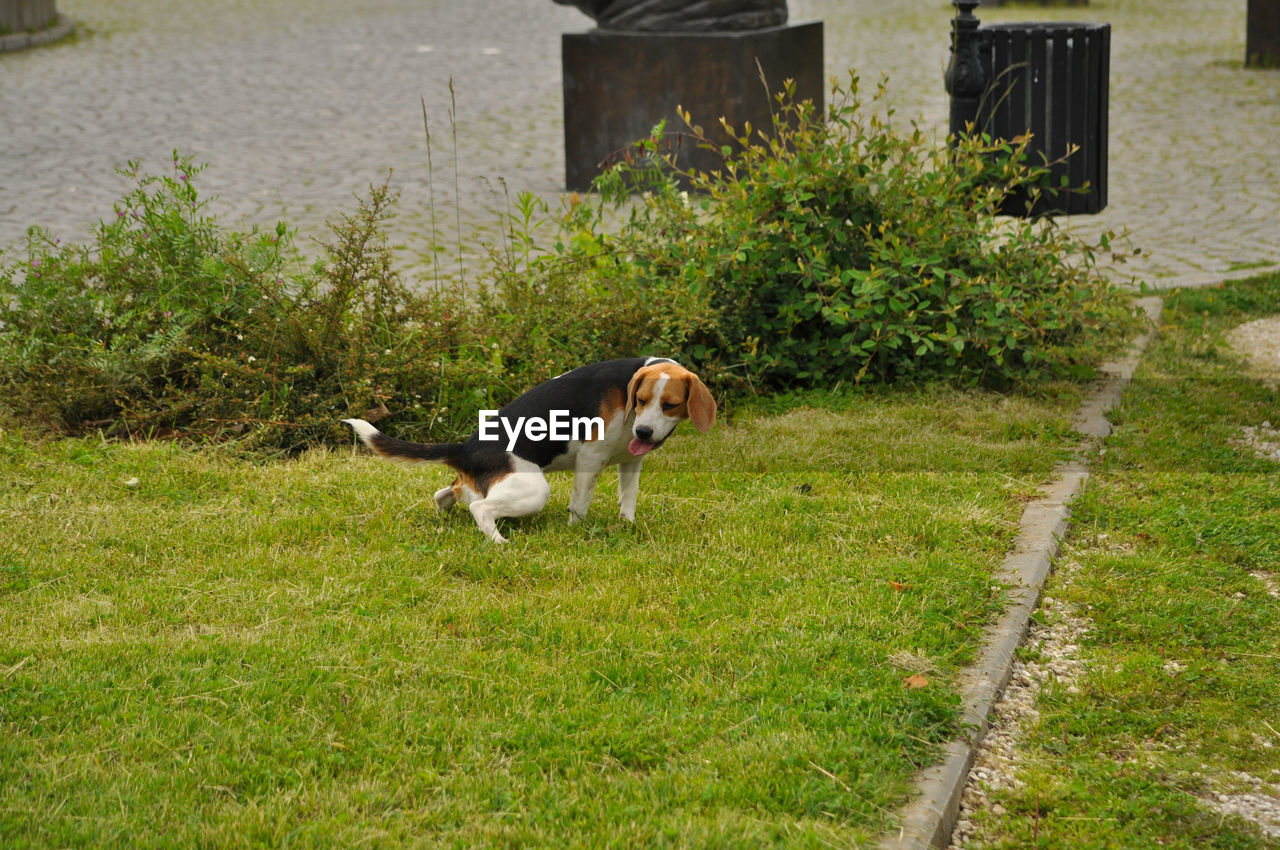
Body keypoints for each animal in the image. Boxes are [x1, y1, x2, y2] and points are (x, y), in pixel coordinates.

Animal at [345, 355, 716, 545]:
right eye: (640, 399)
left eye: (669, 405)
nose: (643, 431)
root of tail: (465, 448)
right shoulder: (591, 458)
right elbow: (580, 505)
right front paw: (576, 532)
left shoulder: (631, 463)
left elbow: (628, 499)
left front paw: (627, 525)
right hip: (534, 488)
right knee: (480, 508)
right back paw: (499, 542)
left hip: (476, 485)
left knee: (445, 494)